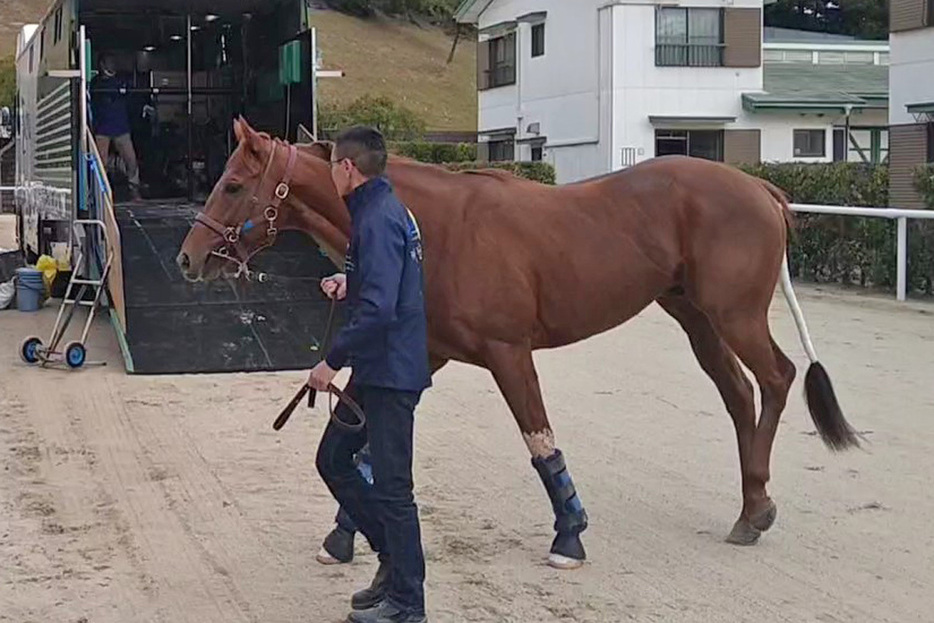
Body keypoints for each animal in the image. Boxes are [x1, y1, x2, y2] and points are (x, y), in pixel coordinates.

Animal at [177, 119, 864, 572]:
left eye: (233, 185)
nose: (189, 258)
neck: (433, 224)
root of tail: (760, 190)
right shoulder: (427, 351)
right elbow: (361, 443)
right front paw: (345, 533)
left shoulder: (509, 354)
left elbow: (540, 440)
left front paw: (570, 535)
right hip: (695, 318)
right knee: (739, 394)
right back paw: (751, 506)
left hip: (735, 314)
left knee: (775, 379)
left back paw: (758, 506)